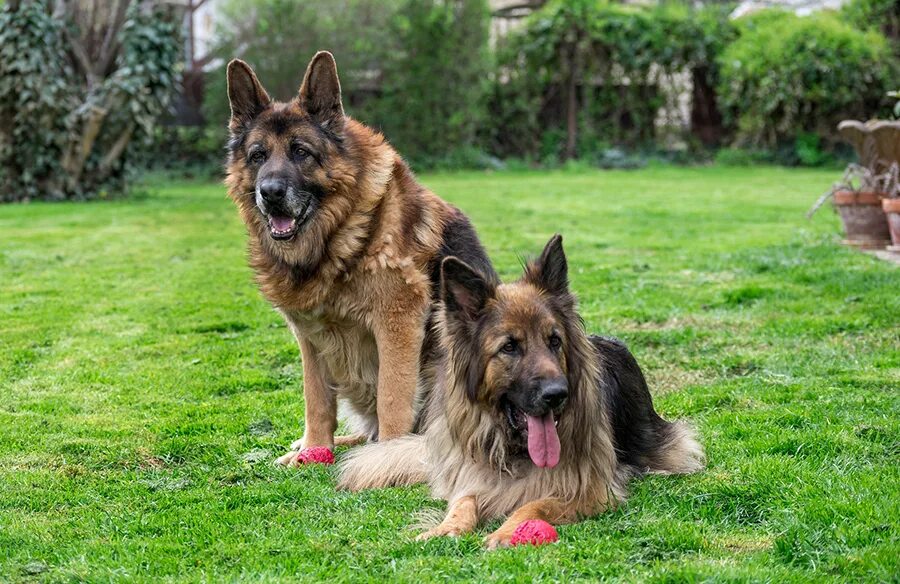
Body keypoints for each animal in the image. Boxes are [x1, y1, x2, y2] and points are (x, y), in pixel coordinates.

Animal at [225, 51, 492, 460]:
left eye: (301, 152)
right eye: (258, 156)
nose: (269, 193)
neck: (335, 238)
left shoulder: (397, 323)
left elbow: (392, 399)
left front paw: (388, 456)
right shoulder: (310, 338)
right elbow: (316, 400)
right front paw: (314, 449)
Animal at [338, 236, 704, 548]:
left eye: (554, 341)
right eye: (509, 347)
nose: (558, 395)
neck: (516, 449)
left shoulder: (592, 490)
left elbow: (534, 504)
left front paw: (509, 530)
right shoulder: (472, 477)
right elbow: (463, 502)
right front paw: (445, 528)